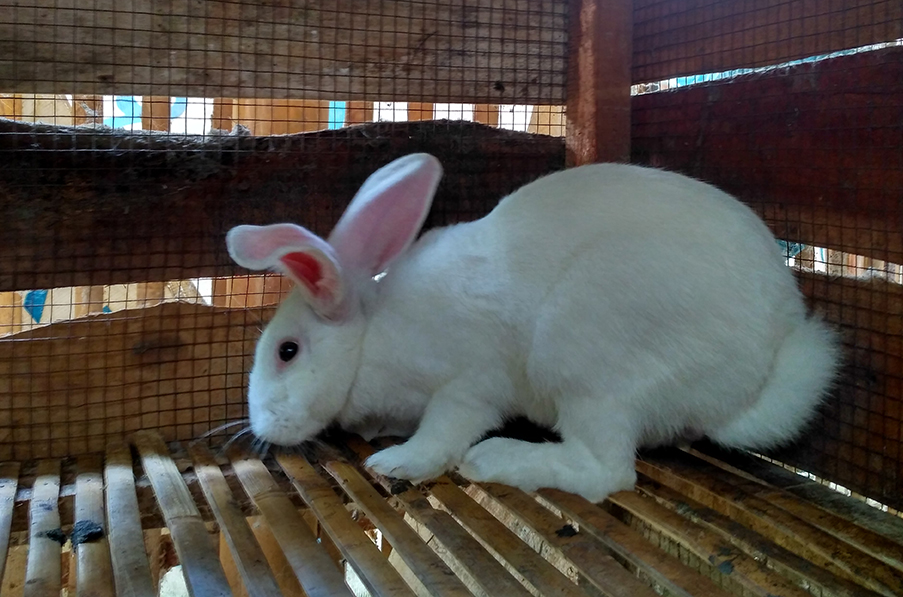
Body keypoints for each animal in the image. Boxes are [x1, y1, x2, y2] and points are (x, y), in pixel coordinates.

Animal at [226, 153, 841, 502]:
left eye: (286, 351)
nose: (260, 427)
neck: (371, 336)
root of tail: (759, 372)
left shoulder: (468, 383)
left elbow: (443, 431)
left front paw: (398, 460)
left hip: (586, 361)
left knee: (606, 473)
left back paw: (498, 460)